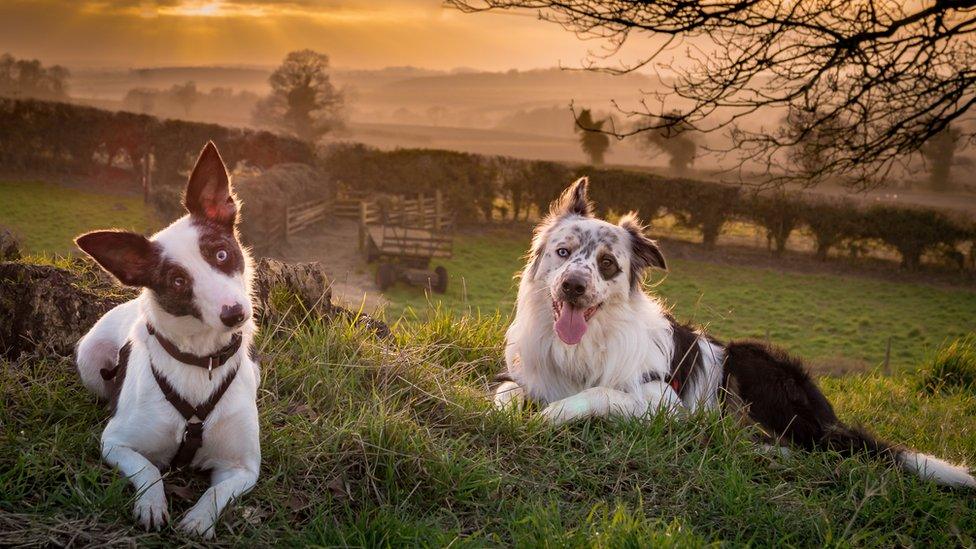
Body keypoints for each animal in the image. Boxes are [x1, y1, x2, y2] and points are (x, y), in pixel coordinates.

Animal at [75, 141, 262, 536]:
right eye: (177, 281)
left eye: (221, 253)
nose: (235, 314)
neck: (201, 361)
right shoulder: (115, 443)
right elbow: (148, 470)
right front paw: (151, 504)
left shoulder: (242, 468)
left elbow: (217, 492)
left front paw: (199, 519)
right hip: (89, 358)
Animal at [500, 179, 972, 488]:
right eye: (563, 252)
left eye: (607, 264)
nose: (573, 286)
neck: (582, 344)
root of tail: (827, 416)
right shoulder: (522, 376)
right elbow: (505, 394)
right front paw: (508, 413)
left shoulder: (662, 402)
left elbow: (598, 394)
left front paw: (550, 416)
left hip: (749, 358)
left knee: (809, 448)